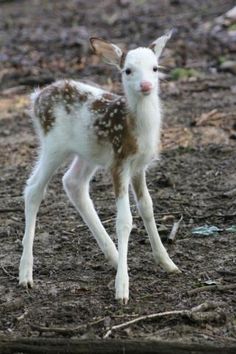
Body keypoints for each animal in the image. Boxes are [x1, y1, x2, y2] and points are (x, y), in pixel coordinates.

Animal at [19, 31, 180, 304]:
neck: (135, 127)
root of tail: (36, 97)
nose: (146, 86)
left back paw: (113, 256)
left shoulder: (139, 166)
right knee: (34, 189)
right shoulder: (119, 163)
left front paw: (167, 263)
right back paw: (25, 274)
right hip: (53, 144)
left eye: (155, 68)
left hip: (88, 152)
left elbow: (147, 207)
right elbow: (124, 221)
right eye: (127, 70)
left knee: (73, 182)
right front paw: (122, 289)